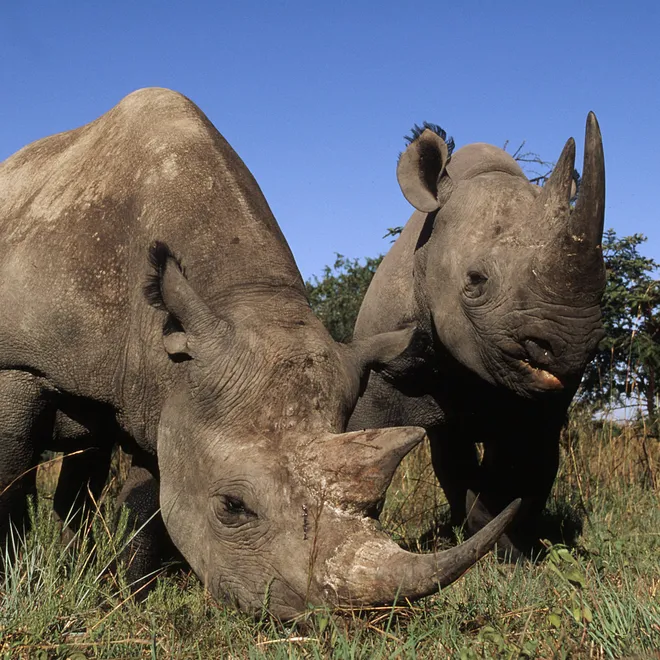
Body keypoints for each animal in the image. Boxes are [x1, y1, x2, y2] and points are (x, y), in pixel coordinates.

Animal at [0, 88, 519, 620]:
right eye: (232, 506)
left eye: (375, 508)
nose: (333, 618)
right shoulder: (19, 365)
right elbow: (9, 463)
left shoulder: (160, 389)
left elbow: (146, 502)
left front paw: (126, 595)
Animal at [348, 115, 605, 558]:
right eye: (476, 280)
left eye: (604, 283)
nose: (569, 344)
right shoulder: (381, 362)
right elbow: (365, 448)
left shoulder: (542, 397)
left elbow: (522, 470)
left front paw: (509, 554)